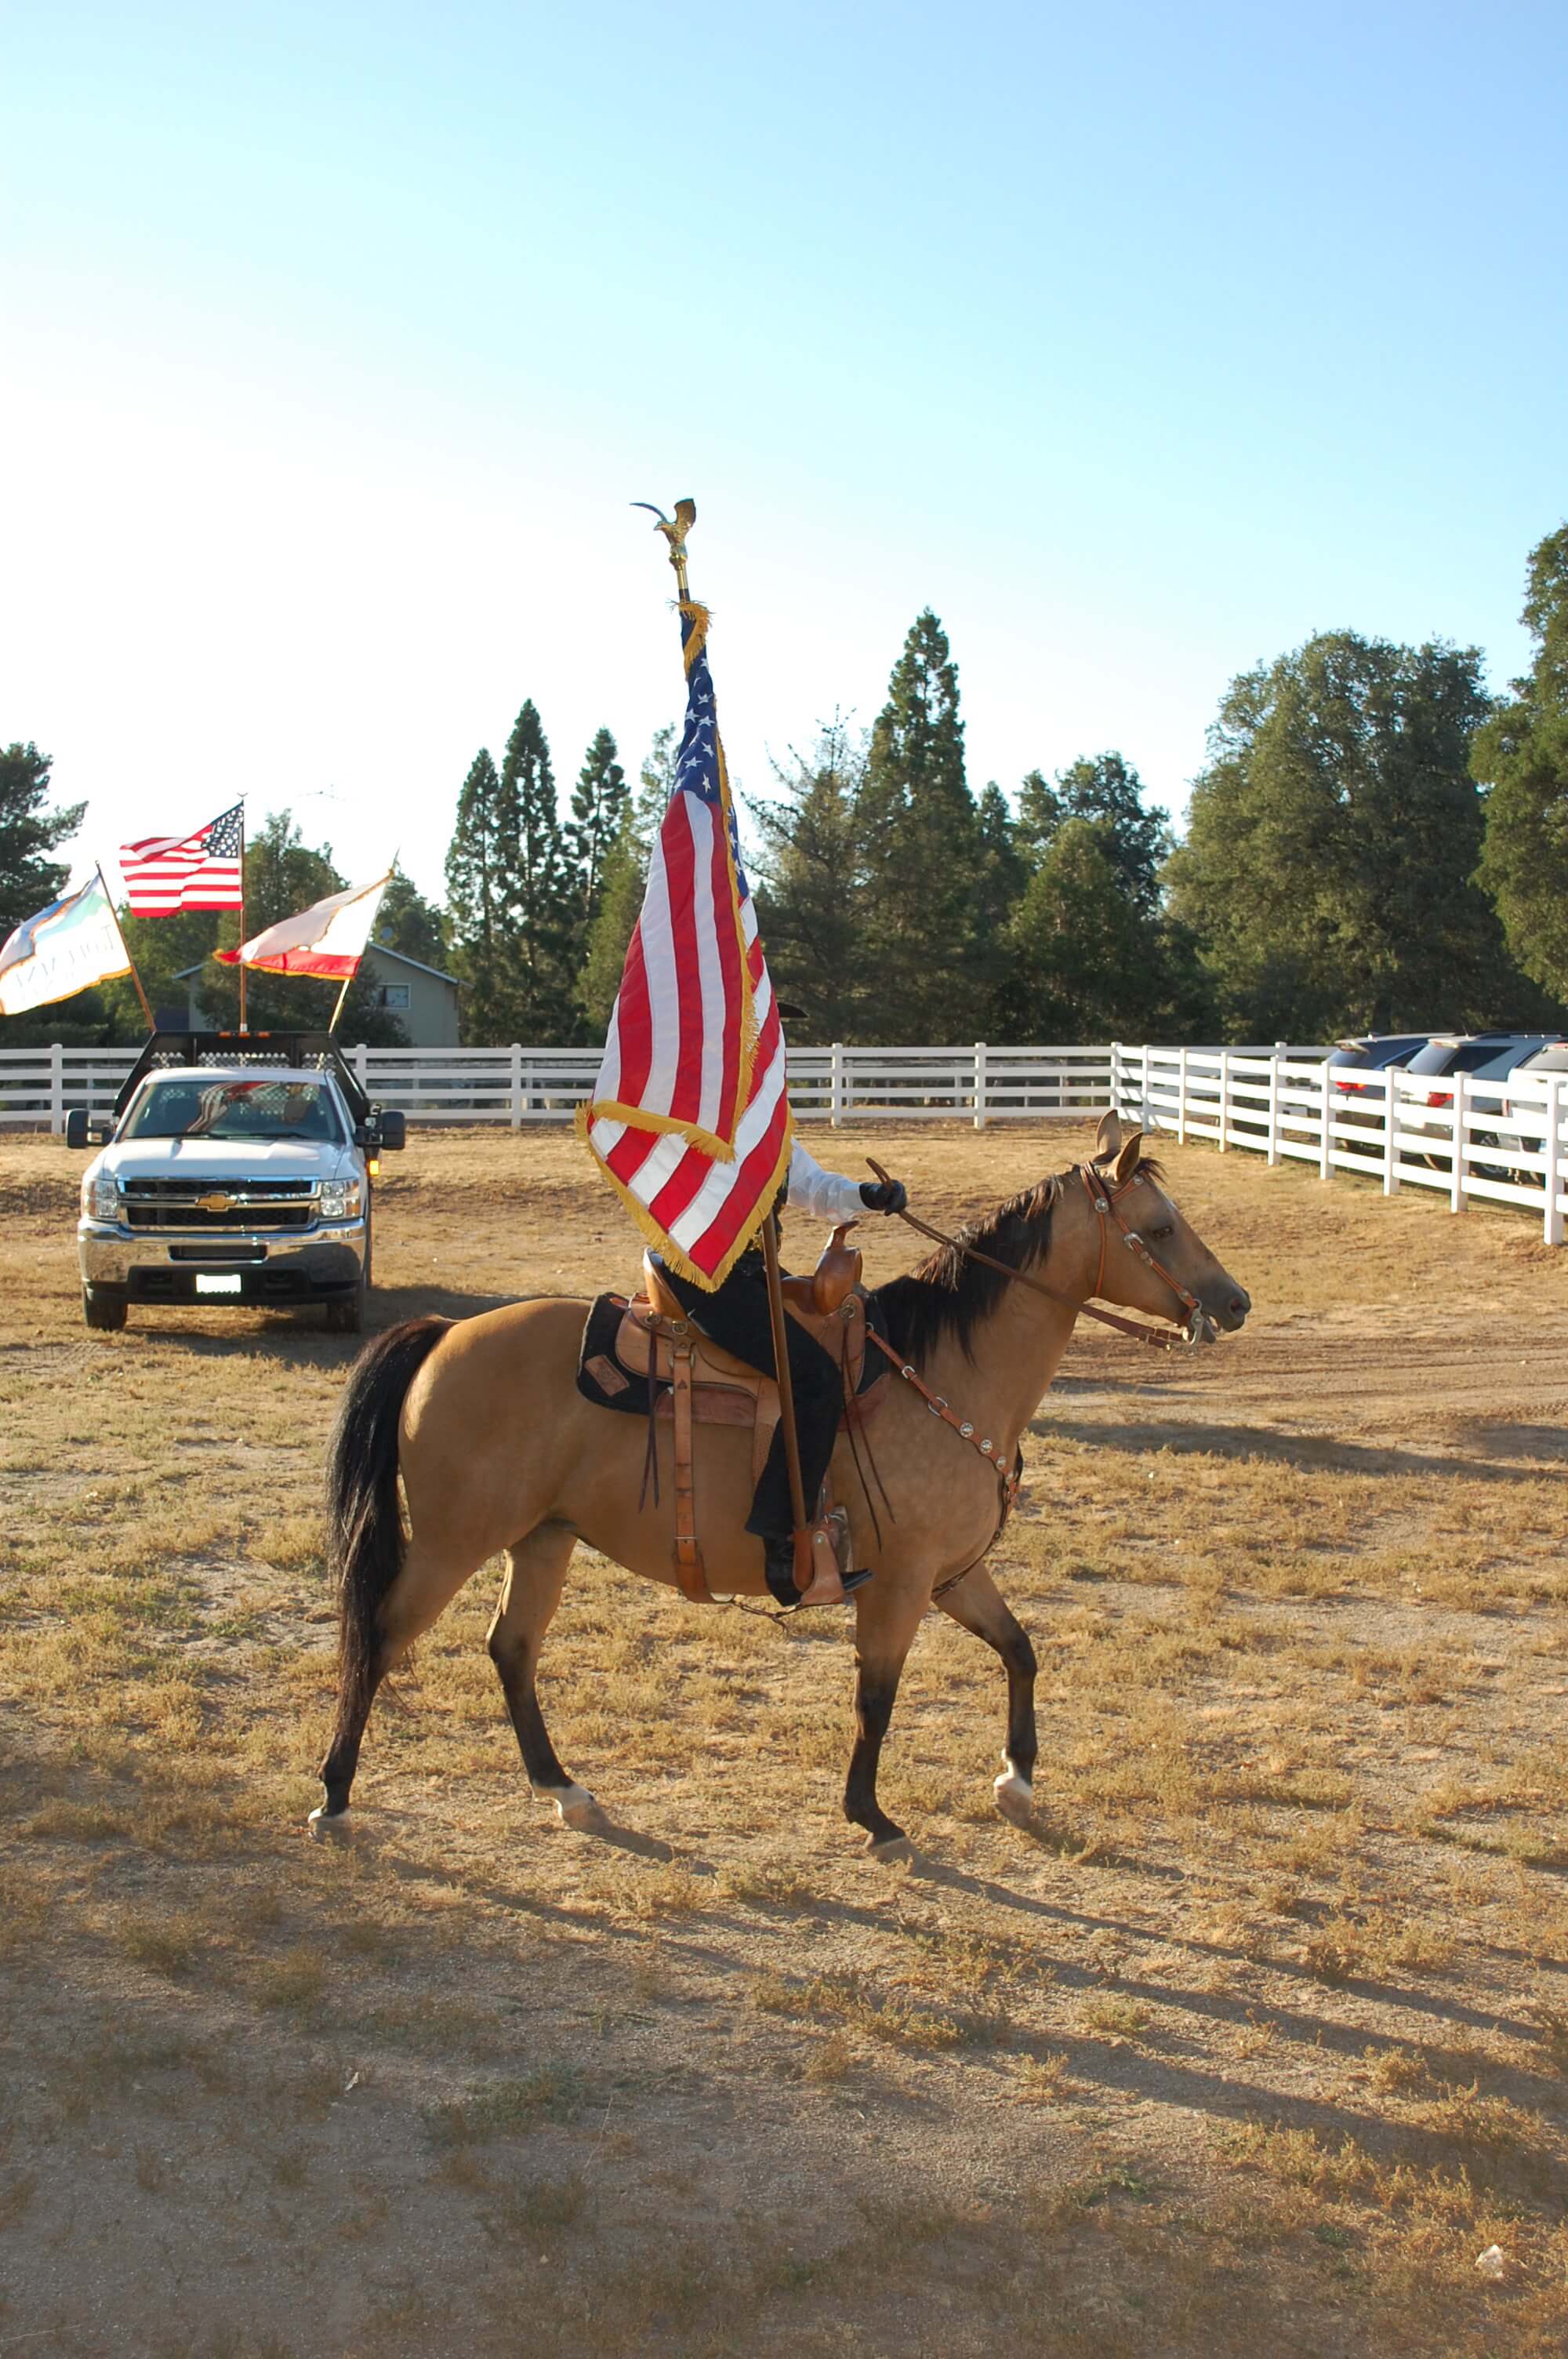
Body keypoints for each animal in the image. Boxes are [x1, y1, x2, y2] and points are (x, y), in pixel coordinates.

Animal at [316, 1118, 1244, 1859]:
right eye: (1160, 1227)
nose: (1234, 1302)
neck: (943, 1372)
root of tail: (445, 1332)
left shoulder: (952, 1572)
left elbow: (1019, 1648)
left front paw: (1015, 1781)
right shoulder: (900, 1582)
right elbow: (877, 1696)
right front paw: (873, 1816)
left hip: (541, 1537)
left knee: (510, 1648)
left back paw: (565, 1790)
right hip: (452, 1542)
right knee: (379, 1636)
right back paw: (333, 1795)